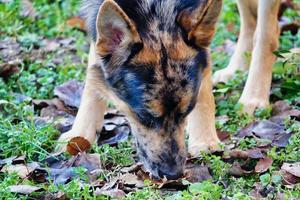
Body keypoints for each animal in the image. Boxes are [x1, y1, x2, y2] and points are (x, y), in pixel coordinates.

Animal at [58, 0, 282, 180]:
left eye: (186, 111)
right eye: (144, 116)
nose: (173, 174)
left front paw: (204, 140)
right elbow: (92, 74)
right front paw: (79, 135)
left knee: (266, 34)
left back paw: (254, 97)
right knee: (251, 20)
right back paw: (236, 69)